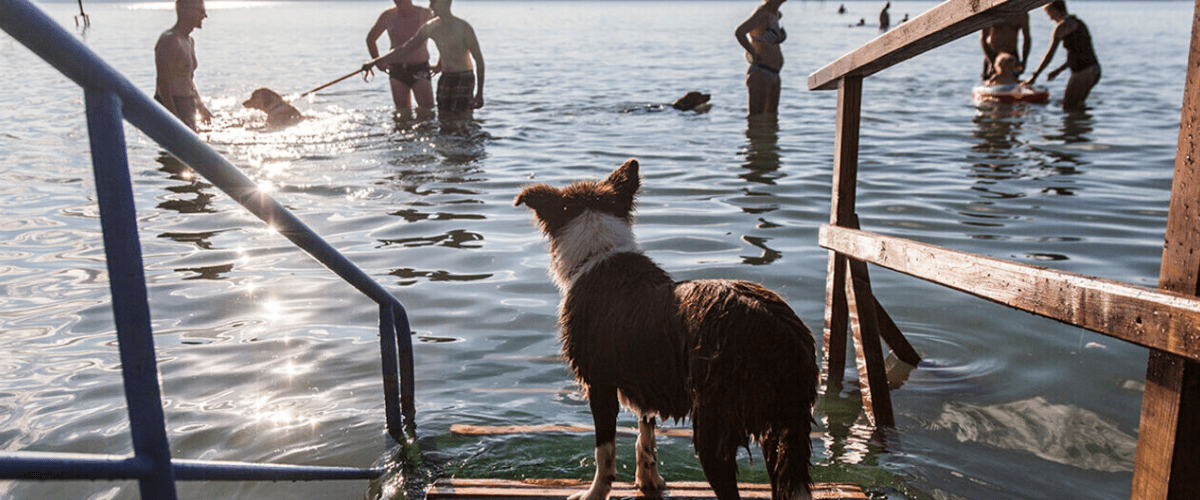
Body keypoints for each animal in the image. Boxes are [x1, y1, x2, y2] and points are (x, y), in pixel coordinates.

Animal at [511, 158, 820, 498]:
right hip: (783, 429)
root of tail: (782, 332)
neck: (600, 253)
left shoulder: (599, 381)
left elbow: (604, 452)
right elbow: (646, 434)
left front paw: (594, 493)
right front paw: (649, 481)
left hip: (715, 425)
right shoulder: (647, 376)